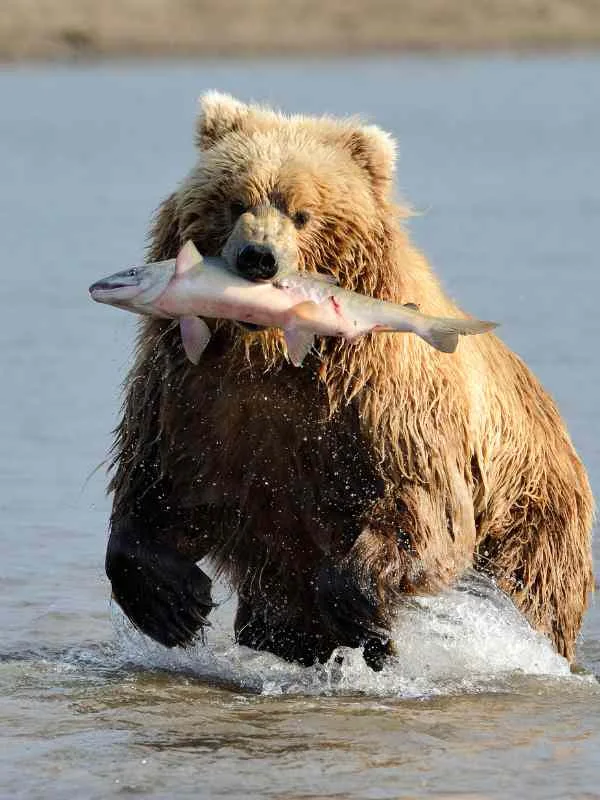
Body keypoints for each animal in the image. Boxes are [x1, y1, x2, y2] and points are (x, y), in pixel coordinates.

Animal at [106, 91, 594, 669]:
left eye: (302, 212)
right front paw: (173, 602)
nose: (258, 258)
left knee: (527, 589)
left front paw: (361, 608)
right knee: (277, 615)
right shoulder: (193, 390)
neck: (267, 355)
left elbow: (417, 503)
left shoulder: (381, 401)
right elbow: (162, 477)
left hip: (530, 515)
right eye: (236, 201)